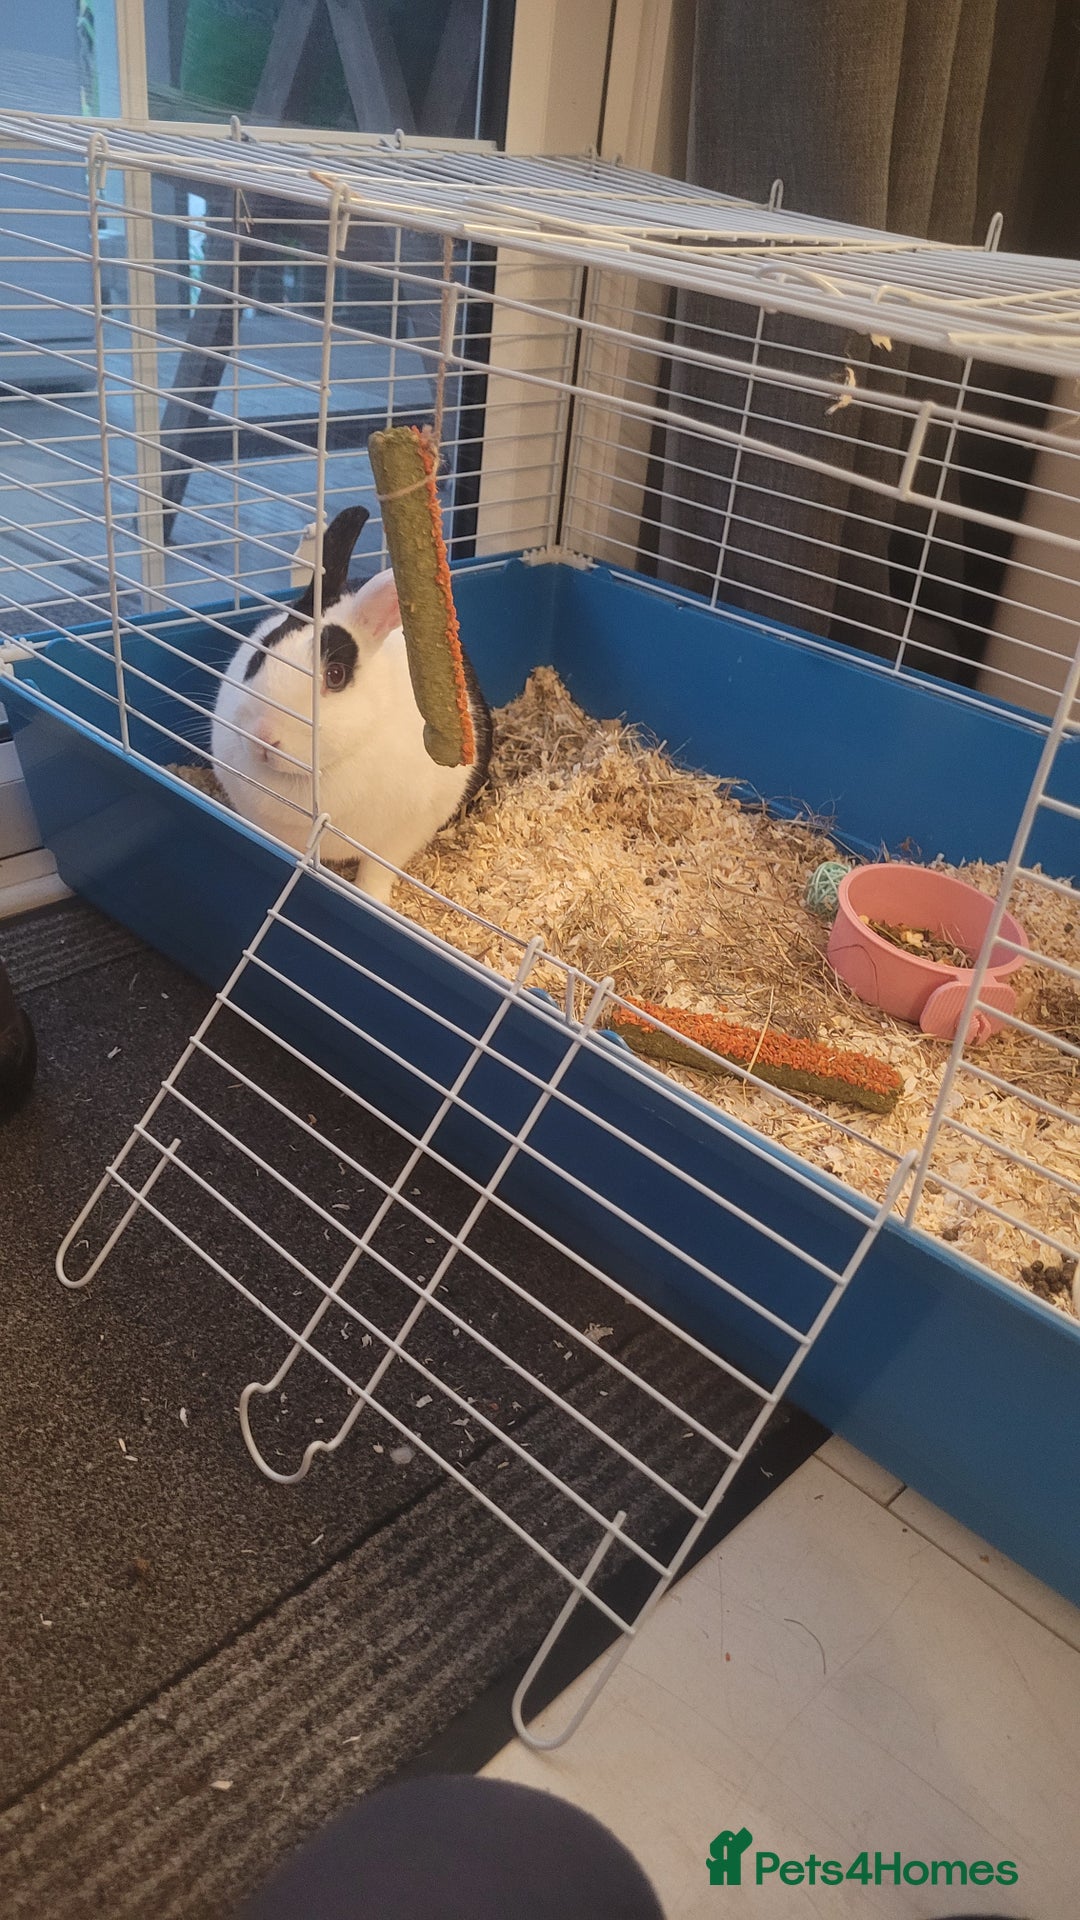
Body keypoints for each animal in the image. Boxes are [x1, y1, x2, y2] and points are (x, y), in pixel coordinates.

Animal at [210, 504, 492, 902]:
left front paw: (371, 899)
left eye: (335, 676)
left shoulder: (402, 835)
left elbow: (376, 872)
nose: (264, 738)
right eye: (261, 652)